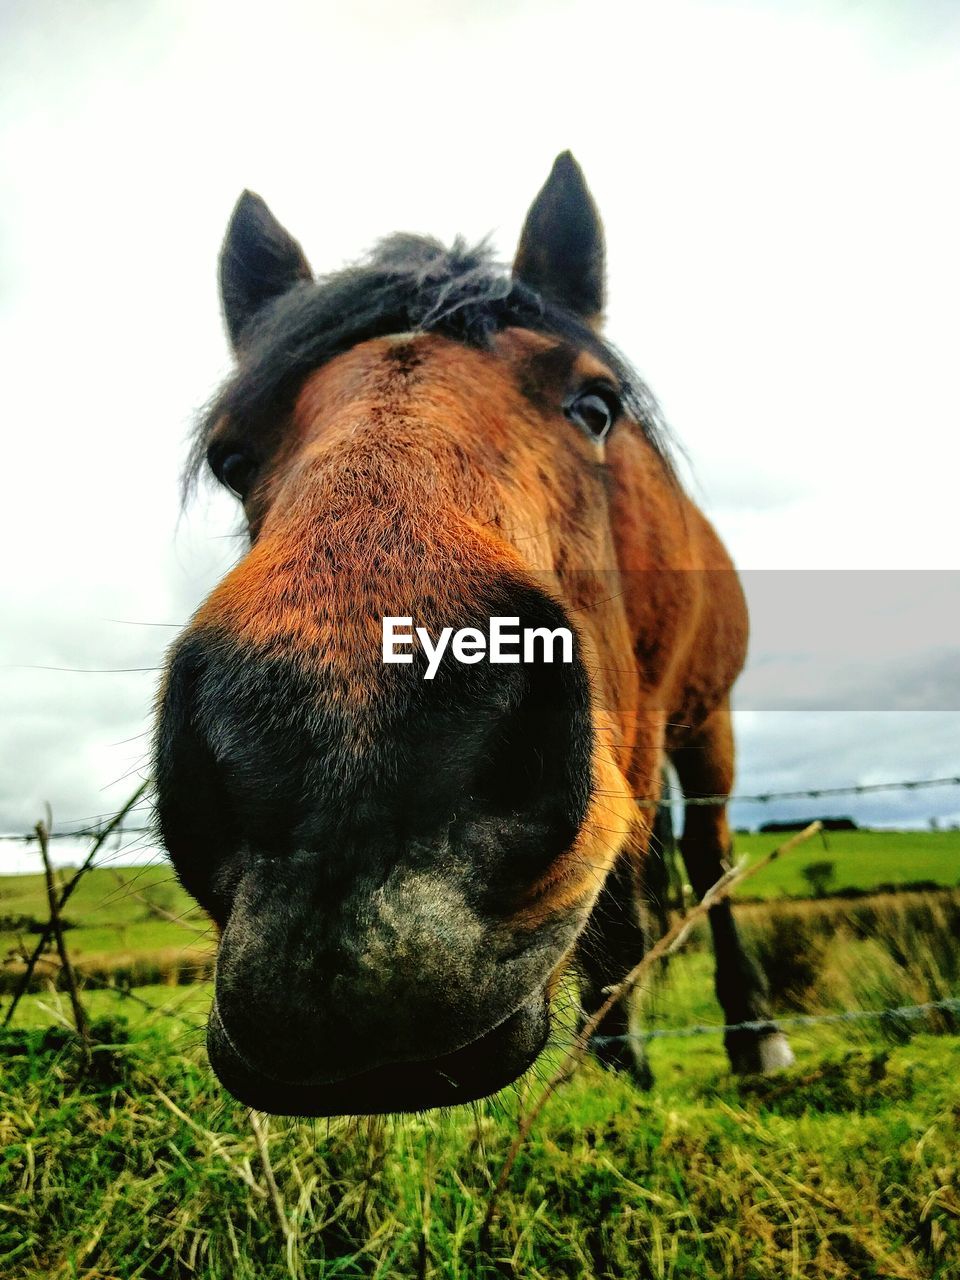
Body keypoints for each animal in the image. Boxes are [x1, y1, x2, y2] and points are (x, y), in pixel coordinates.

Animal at [154, 149, 793, 1116]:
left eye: (595, 406)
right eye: (232, 458)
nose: (347, 775)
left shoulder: (651, 723)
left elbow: (646, 877)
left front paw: (622, 1058)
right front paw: (611, 1056)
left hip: (704, 720)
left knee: (707, 856)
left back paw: (752, 1033)